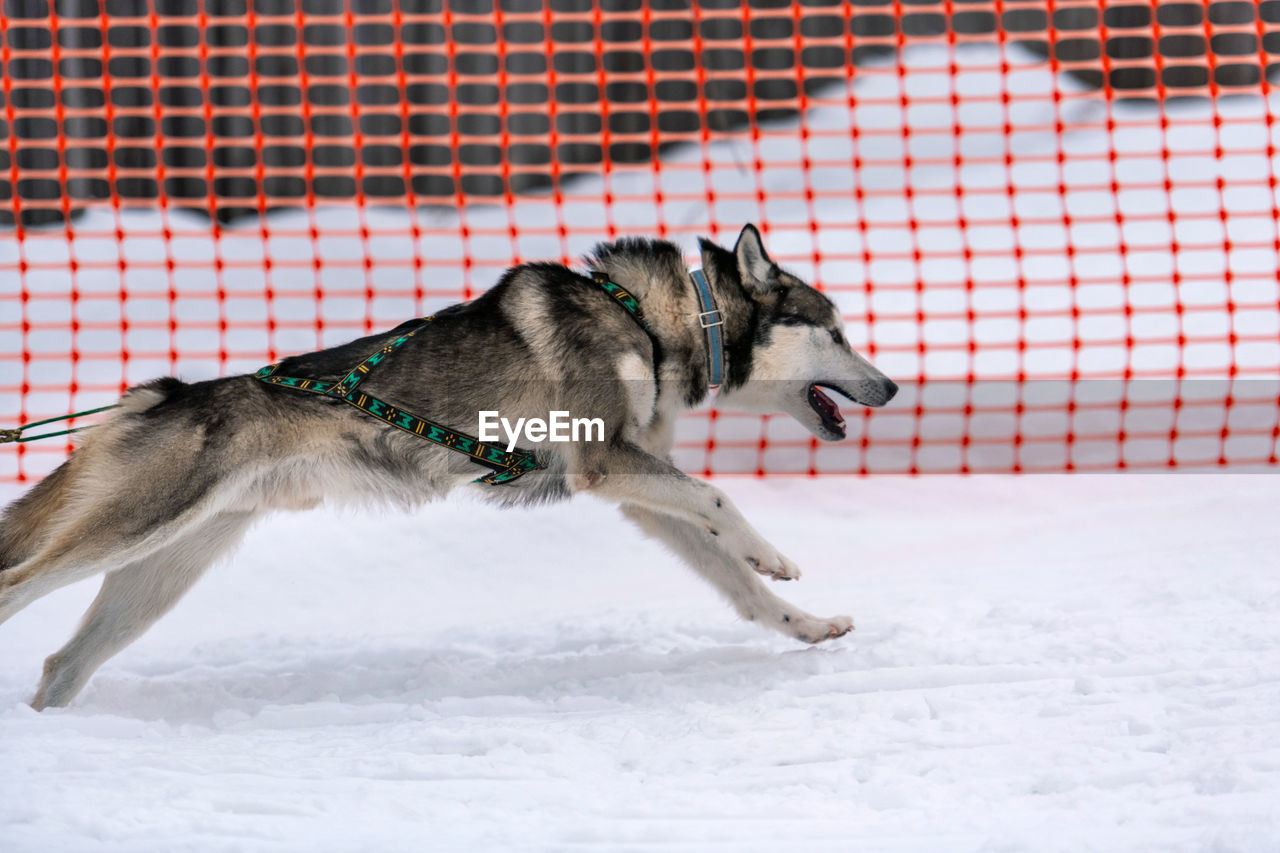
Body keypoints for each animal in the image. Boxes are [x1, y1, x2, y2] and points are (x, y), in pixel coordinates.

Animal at [0, 222, 896, 706]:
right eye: (837, 331)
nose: (888, 386)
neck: (655, 319)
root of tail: (159, 395)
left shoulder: (636, 489)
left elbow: (738, 585)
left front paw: (806, 621)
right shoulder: (605, 461)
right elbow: (716, 500)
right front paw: (774, 553)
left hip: (159, 570)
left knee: (62, 662)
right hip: (136, 526)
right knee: (17, 588)